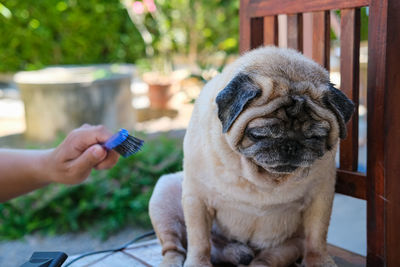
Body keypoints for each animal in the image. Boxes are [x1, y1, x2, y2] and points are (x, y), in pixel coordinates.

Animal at [149, 46, 354, 267]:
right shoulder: (197, 199)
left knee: (268, 258)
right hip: (165, 193)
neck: (261, 180)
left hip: (289, 246)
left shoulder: (320, 197)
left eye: (316, 136)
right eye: (258, 134)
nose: (290, 145)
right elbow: (199, 240)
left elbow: (317, 237)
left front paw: (320, 261)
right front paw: (198, 263)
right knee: (175, 247)